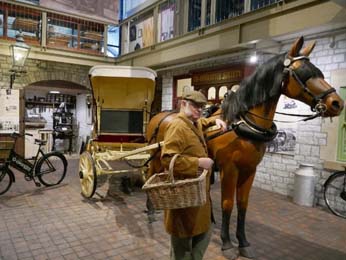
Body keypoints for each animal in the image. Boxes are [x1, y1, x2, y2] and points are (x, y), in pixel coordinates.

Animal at [145, 36, 344, 258]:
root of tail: (160, 115)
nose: (336, 103)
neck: (243, 123)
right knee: (150, 176)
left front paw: (243, 242)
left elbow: (242, 205)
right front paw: (227, 243)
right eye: (302, 72)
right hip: (156, 157)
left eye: (319, 71)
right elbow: (227, 204)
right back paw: (151, 211)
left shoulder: (249, 170)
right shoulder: (229, 170)